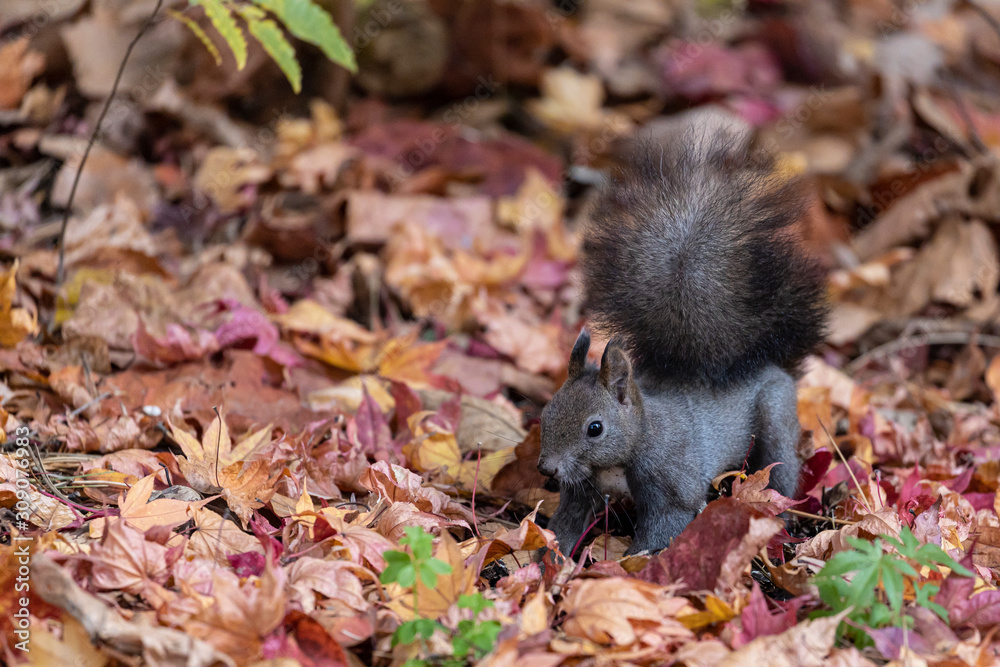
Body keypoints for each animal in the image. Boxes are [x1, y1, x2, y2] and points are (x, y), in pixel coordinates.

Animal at [537, 126, 827, 557]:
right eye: (546, 412)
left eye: (595, 428)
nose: (548, 468)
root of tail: (769, 364)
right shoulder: (580, 487)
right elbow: (567, 525)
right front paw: (547, 558)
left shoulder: (672, 482)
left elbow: (664, 526)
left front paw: (631, 564)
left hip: (775, 417)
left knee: (782, 471)